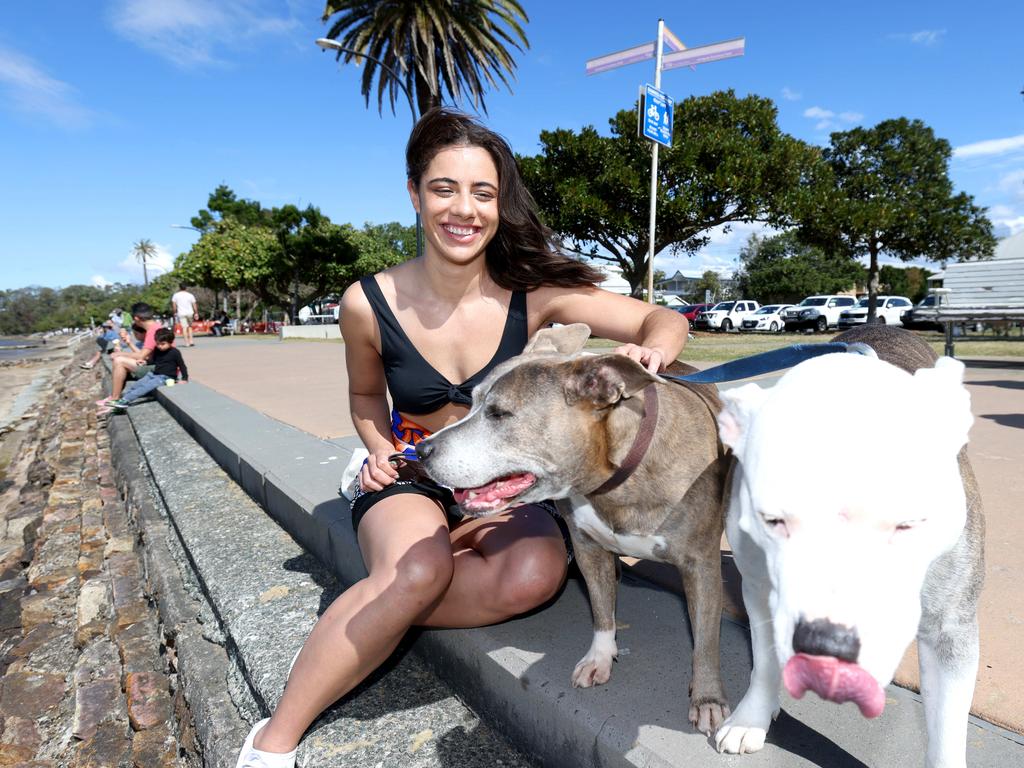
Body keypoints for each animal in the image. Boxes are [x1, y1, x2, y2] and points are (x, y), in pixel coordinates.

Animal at [712, 327, 983, 768]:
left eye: (908, 523)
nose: (828, 642)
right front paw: (751, 718)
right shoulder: (759, 587)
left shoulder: (950, 629)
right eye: (772, 518)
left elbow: (946, 731)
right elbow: (765, 660)